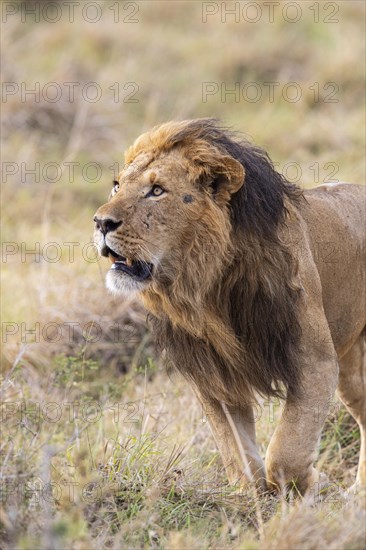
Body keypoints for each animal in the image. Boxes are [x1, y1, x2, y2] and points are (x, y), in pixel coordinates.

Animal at [94, 118, 366, 498]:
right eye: (117, 185)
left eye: (157, 191)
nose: (101, 223)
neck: (206, 286)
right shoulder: (212, 375)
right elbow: (237, 452)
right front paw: (252, 496)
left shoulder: (314, 361)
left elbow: (286, 450)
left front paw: (309, 484)